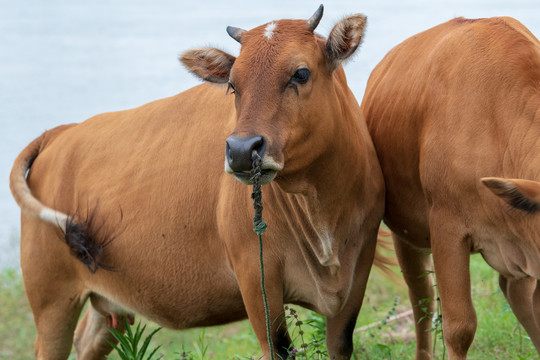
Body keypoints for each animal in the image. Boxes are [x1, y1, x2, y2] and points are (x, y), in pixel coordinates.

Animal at [10, 6, 386, 360]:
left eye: (301, 73)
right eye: (233, 84)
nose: (241, 149)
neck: (321, 215)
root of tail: (61, 132)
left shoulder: (359, 268)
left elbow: (340, 345)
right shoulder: (255, 275)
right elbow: (277, 348)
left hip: (108, 303)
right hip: (52, 300)